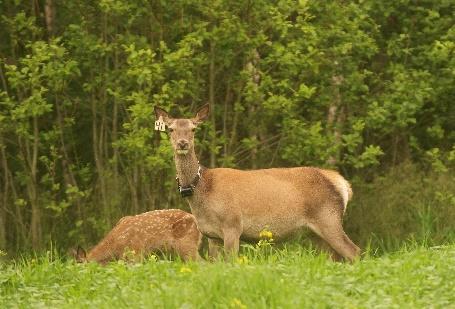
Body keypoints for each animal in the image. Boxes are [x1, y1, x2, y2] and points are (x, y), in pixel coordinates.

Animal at [155, 104, 362, 262]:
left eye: (193, 129)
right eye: (171, 129)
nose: (182, 143)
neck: (203, 188)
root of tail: (342, 183)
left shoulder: (233, 224)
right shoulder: (211, 235)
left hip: (329, 218)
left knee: (354, 251)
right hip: (315, 231)